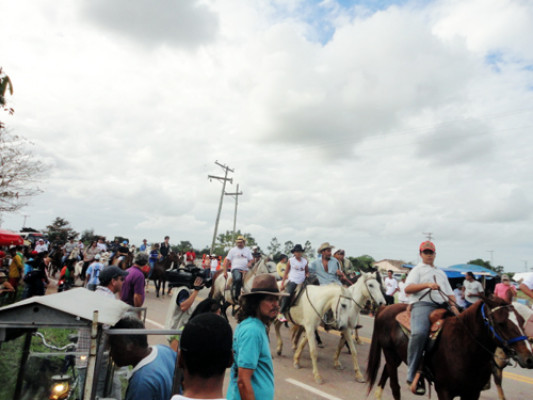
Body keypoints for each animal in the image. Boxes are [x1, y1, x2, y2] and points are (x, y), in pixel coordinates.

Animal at [366, 296, 533, 400]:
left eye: (521, 321)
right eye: (501, 323)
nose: (529, 358)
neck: (465, 350)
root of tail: (384, 308)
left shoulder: (472, 393)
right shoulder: (444, 390)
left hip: (396, 357)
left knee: (385, 372)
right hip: (390, 354)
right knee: (395, 386)